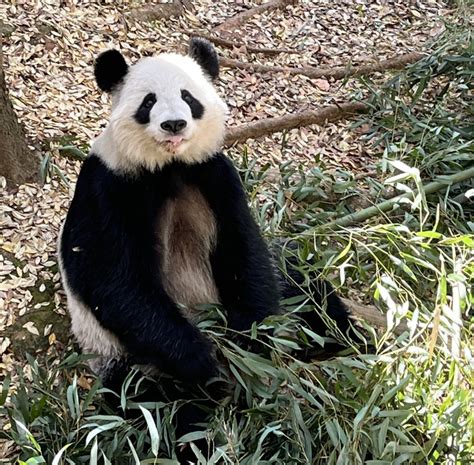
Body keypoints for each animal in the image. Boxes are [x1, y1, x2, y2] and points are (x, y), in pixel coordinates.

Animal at [59, 38, 354, 458]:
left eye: (188, 97)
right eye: (148, 102)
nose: (174, 124)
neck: (169, 167)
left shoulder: (215, 175)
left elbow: (244, 250)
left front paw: (249, 345)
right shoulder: (110, 186)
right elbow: (113, 281)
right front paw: (205, 361)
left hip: (288, 290)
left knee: (306, 293)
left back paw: (344, 343)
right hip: (123, 358)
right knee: (160, 408)